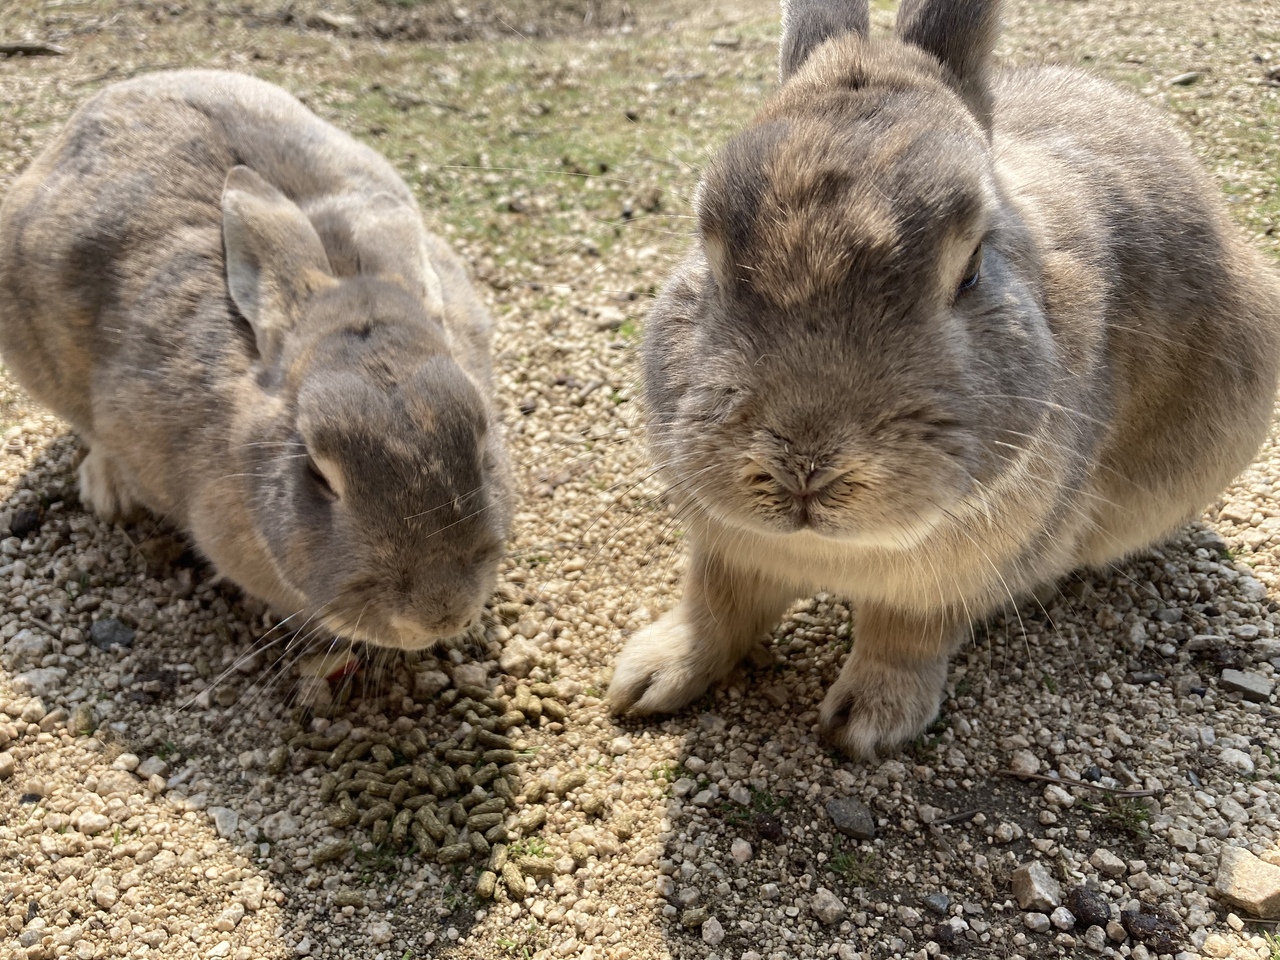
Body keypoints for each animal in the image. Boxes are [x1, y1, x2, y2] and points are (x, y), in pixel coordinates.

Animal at [606, 0, 1280, 757]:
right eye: (709, 250)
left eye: (972, 270)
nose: (803, 466)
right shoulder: (725, 550)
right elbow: (713, 606)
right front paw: (647, 677)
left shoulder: (945, 587)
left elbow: (903, 639)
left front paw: (866, 724)